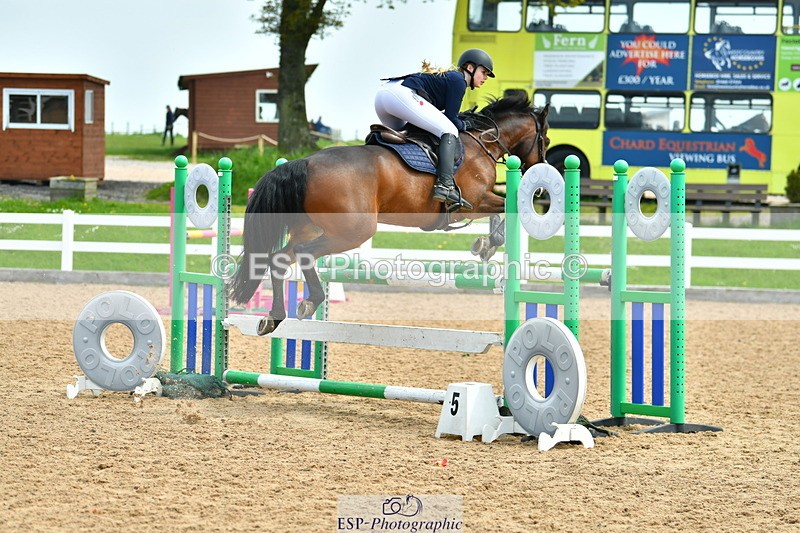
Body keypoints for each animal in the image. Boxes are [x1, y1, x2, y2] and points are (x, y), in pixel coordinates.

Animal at [230, 91, 550, 335]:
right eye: (545, 139)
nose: (540, 172)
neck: (481, 142)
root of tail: (305, 162)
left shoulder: (479, 201)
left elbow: (502, 210)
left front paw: (484, 244)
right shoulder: (473, 201)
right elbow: (506, 207)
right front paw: (490, 242)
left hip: (310, 228)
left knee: (280, 259)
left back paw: (273, 317)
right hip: (353, 231)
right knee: (305, 253)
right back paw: (312, 301)